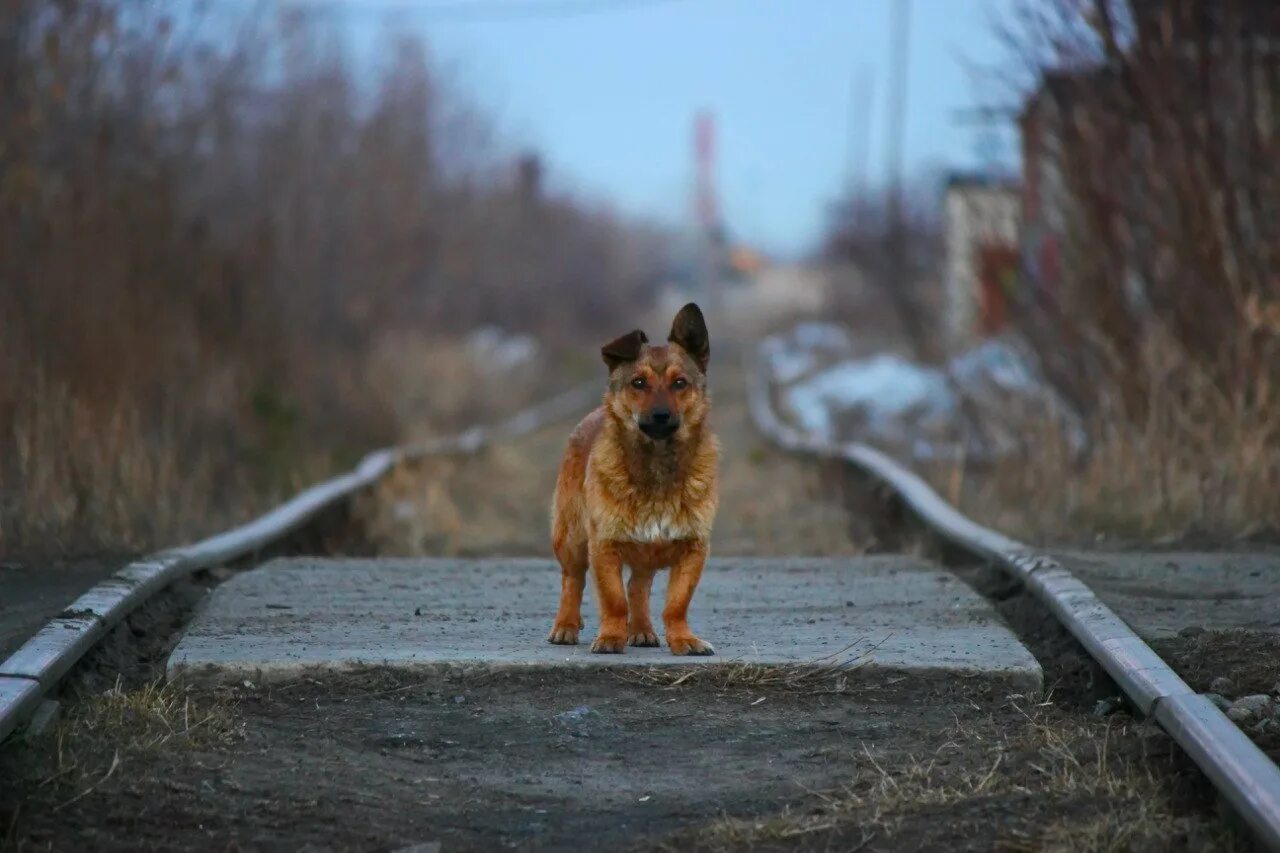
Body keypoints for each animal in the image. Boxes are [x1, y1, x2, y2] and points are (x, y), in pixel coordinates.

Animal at [547, 302, 721, 653]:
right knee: (572, 580)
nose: (660, 416)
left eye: (680, 383)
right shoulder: (604, 545)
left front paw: (682, 639)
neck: (656, 464)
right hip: (570, 540)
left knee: (637, 586)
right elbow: (613, 600)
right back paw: (566, 625)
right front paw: (611, 637)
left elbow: (676, 603)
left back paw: (641, 630)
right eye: (638, 383)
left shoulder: (694, 549)